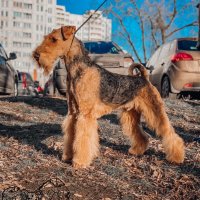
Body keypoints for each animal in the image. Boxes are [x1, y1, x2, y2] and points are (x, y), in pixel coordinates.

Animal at [32, 25, 184, 168]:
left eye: (54, 39)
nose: (36, 55)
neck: (79, 69)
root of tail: (144, 78)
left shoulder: (85, 115)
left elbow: (82, 138)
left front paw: (80, 162)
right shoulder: (73, 113)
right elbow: (71, 135)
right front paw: (68, 157)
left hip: (154, 111)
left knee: (169, 133)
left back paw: (177, 157)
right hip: (130, 115)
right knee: (142, 135)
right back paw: (136, 151)